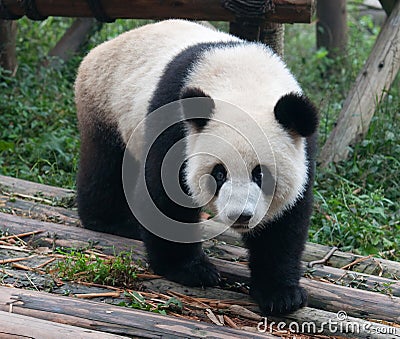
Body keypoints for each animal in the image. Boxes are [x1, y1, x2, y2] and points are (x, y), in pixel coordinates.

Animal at [76, 19, 318, 316]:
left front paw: (281, 294)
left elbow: (285, 222)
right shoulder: (174, 122)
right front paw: (191, 270)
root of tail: (100, 49)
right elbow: (164, 196)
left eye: (261, 174)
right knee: (106, 166)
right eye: (219, 173)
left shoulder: (303, 147)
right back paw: (111, 221)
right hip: (107, 103)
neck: (245, 82)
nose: (240, 216)